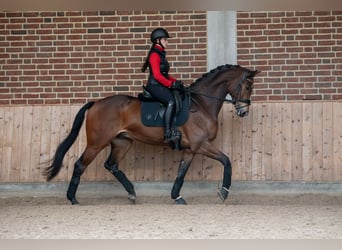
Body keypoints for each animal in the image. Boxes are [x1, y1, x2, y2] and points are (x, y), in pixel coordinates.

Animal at [44, 64, 260, 205]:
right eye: (247, 86)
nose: (244, 111)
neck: (201, 105)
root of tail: (96, 103)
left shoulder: (191, 149)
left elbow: (181, 172)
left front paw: (176, 196)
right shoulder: (201, 144)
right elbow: (226, 161)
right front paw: (224, 192)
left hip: (122, 142)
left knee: (111, 165)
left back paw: (132, 193)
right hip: (97, 143)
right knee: (80, 165)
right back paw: (73, 199)